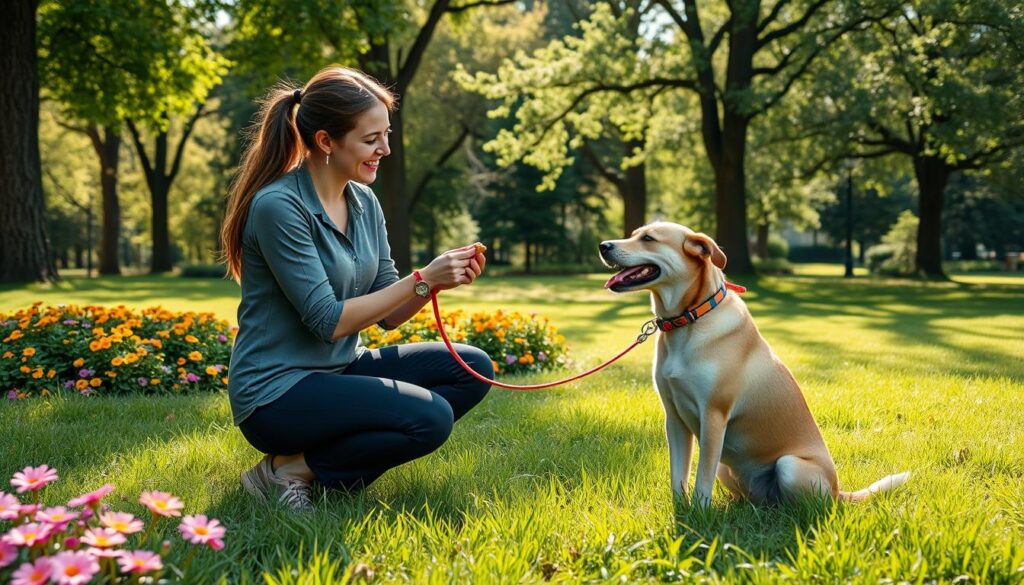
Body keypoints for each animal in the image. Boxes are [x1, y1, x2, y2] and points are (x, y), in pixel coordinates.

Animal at [598, 222, 909, 506]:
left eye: (648, 239)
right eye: (634, 234)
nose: (603, 245)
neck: (690, 318)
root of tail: (838, 491)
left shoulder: (714, 416)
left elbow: (701, 477)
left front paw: (699, 514)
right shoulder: (674, 417)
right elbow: (679, 474)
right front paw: (680, 511)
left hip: (790, 467)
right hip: (728, 470)